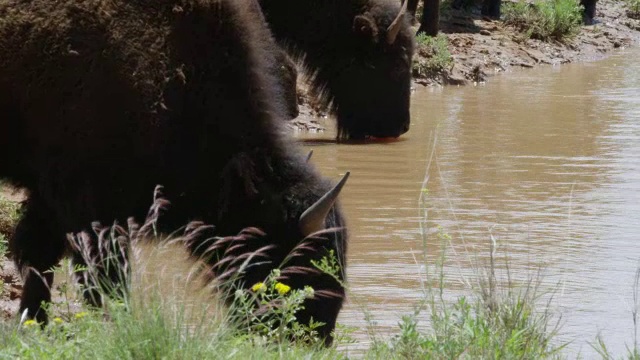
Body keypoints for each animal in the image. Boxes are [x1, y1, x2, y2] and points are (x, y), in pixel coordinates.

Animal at [0, 0, 348, 344]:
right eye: (301, 259)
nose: (318, 336)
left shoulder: (53, 201)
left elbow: (40, 258)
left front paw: (32, 323)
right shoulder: (86, 207)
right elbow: (98, 274)